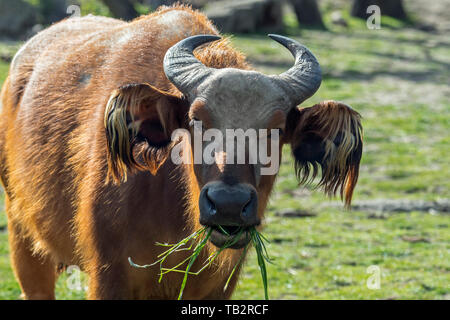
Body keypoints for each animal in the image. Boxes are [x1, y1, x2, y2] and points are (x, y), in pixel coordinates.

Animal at [0, 5, 362, 300]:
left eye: (277, 128)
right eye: (195, 119)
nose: (228, 205)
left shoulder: (221, 284)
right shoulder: (108, 276)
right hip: (23, 235)